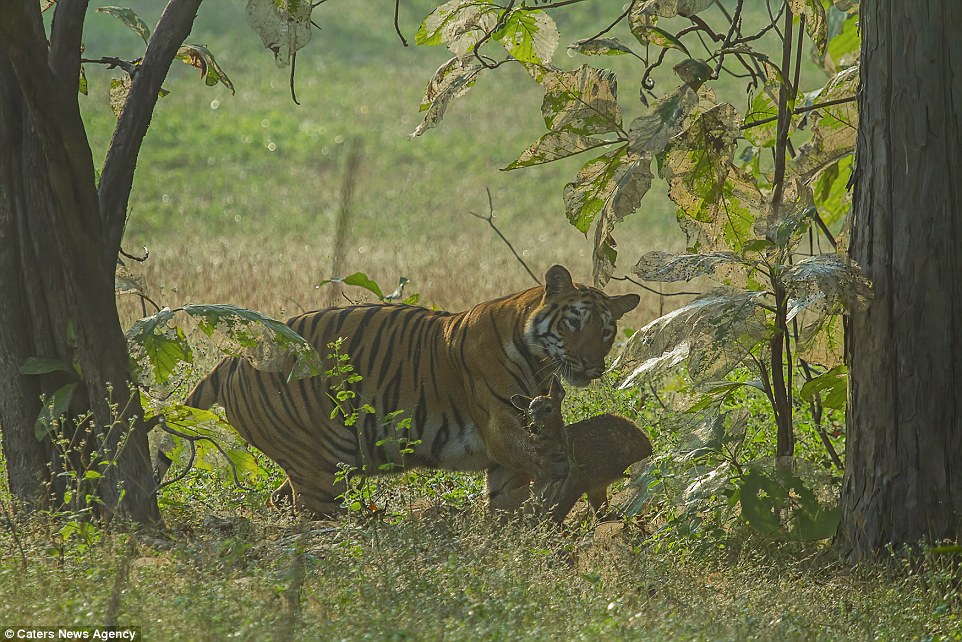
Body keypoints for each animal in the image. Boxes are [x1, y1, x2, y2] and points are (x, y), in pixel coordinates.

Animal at [185, 262, 640, 516]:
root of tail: (233, 358)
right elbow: (543, 463)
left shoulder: (508, 457)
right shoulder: (501, 428)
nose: (593, 366)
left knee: (280, 500)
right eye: (574, 323)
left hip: (314, 464)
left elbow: (508, 505)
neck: (538, 359)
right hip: (321, 471)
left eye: (607, 332)